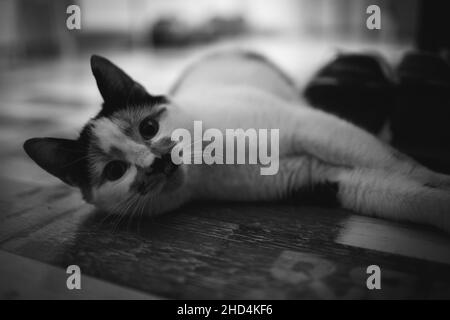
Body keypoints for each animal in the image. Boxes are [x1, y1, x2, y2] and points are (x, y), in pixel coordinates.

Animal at [22, 51, 450, 234]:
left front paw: (440, 177)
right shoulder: (324, 177)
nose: (155, 161)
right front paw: (439, 201)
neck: (217, 162)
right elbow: (402, 194)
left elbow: (396, 162)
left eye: (148, 127)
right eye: (115, 171)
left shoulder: (310, 127)